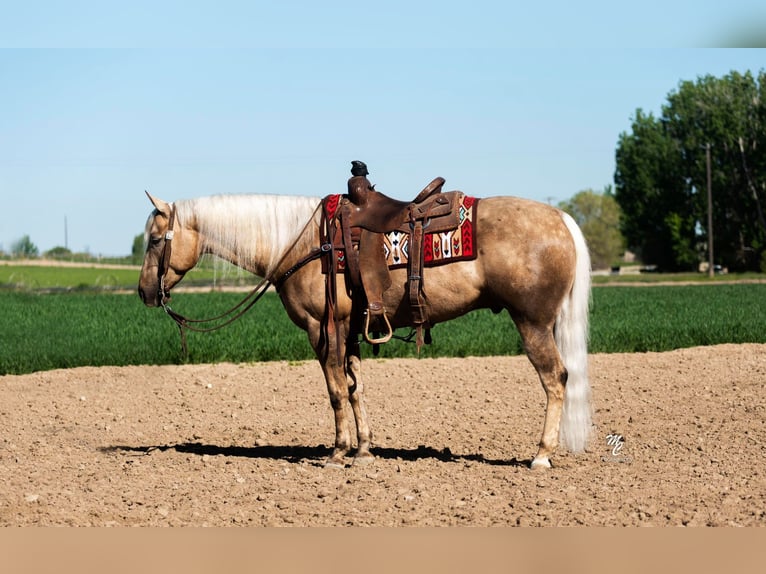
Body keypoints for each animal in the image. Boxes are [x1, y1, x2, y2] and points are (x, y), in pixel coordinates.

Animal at [140, 191, 592, 470]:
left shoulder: (322, 329)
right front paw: (363, 450)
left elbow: (336, 391)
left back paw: (541, 455)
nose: (144, 291)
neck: (303, 243)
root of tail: (560, 218)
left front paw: (337, 453)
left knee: (556, 379)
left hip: (532, 323)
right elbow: (355, 389)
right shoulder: (351, 330)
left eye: (154, 240)